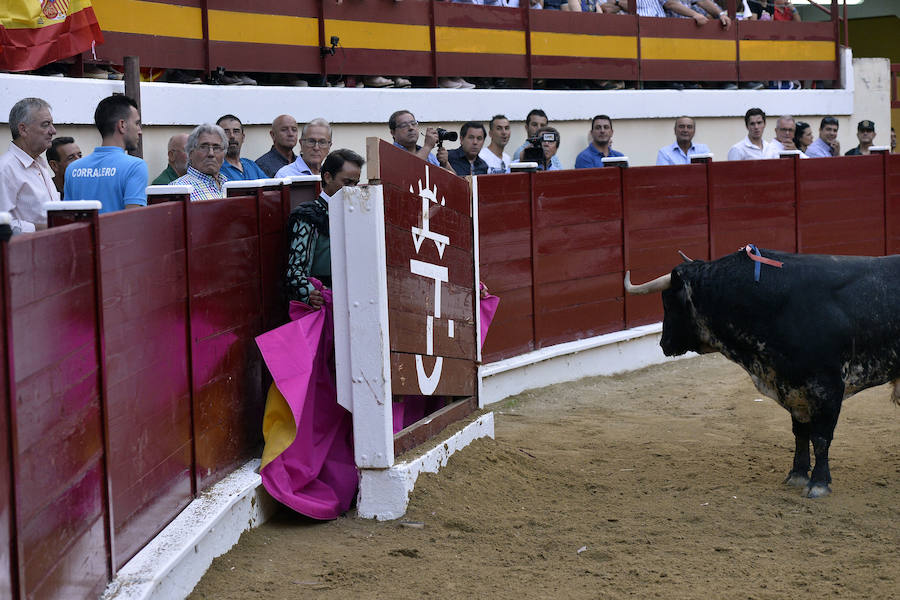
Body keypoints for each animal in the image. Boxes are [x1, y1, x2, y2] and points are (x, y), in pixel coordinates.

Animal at [624, 247, 900, 496]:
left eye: (669, 301)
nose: (664, 344)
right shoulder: (794, 388)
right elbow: (801, 433)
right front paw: (797, 475)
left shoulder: (828, 386)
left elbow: (821, 438)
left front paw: (819, 483)